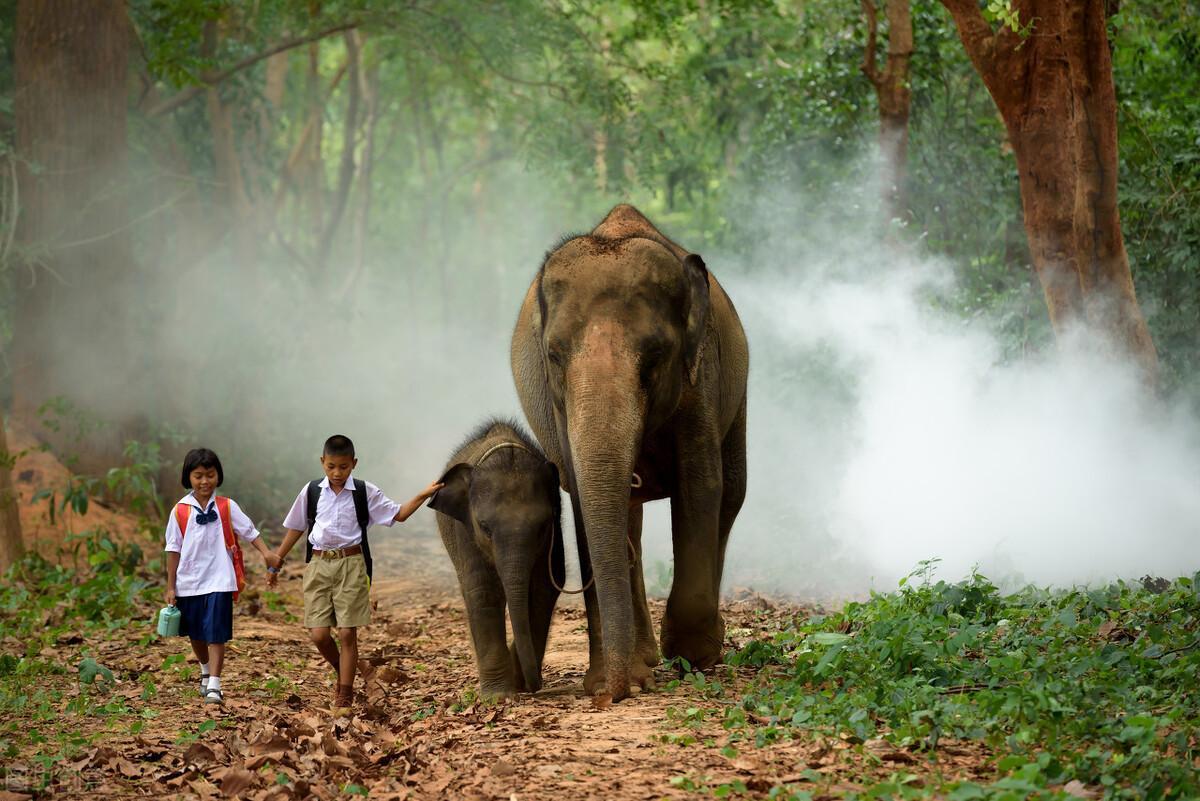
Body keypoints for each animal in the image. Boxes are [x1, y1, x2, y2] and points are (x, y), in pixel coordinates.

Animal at [429, 419, 564, 695]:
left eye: (542, 527)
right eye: (485, 527)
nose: (533, 686)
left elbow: (545, 588)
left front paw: (515, 682)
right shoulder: (465, 529)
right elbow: (483, 590)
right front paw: (498, 695)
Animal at [508, 206, 748, 700]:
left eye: (655, 356)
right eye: (554, 355)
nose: (610, 696)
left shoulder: (701, 376)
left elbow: (700, 486)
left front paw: (692, 657)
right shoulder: (559, 407)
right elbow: (583, 496)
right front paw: (612, 678)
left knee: (732, 493)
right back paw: (645, 659)